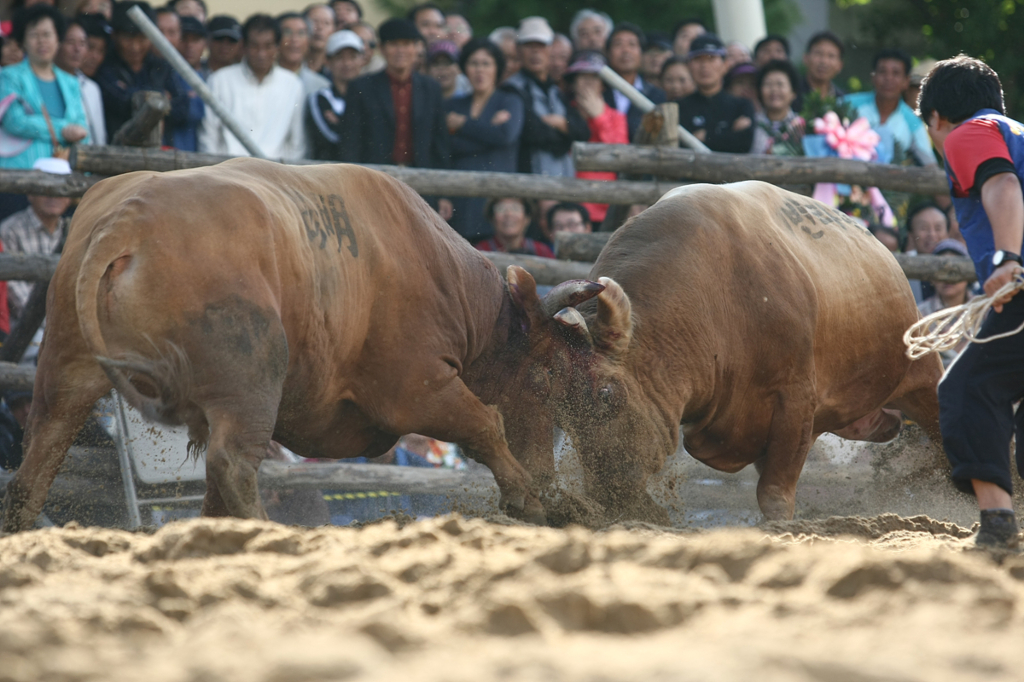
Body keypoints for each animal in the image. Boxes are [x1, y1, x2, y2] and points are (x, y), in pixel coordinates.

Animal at [0, 159, 602, 532]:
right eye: (546, 377)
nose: (549, 472)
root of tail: (129, 219)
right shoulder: (415, 387)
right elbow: (485, 424)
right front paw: (533, 500)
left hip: (67, 370)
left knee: (38, 460)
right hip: (252, 381)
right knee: (232, 463)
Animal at [544, 180, 942, 520]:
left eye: (607, 394)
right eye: (562, 413)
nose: (608, 494)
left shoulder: (795, 398)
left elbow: (774, 494)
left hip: (923, 375)